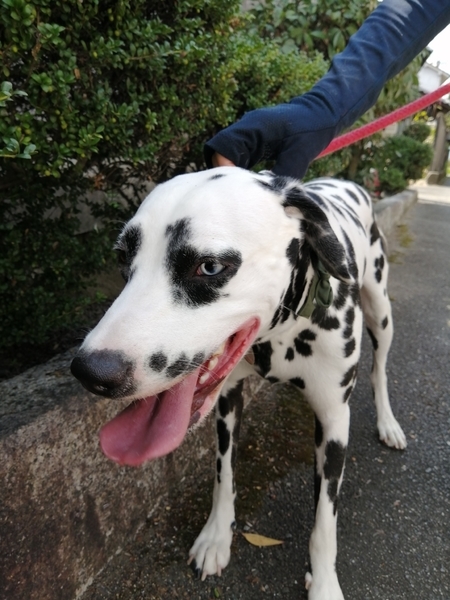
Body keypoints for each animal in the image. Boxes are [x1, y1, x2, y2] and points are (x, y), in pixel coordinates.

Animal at [71, 167, 406, 599]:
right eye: (123, 257)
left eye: (209, 266)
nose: (91, 372)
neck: (279, 338)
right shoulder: (227, 402)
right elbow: (223, 474)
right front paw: (216, 537)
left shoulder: (334, 422)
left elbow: (324, 523)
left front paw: (324, 583)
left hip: (380, 312)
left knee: (380, 368)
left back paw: (388, 423)